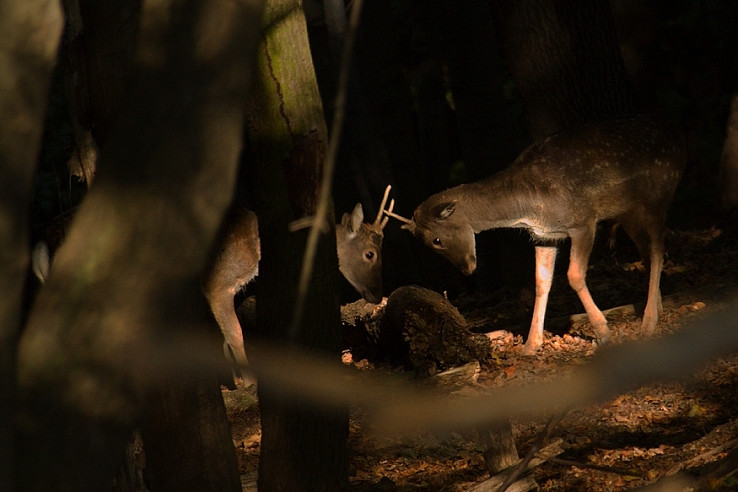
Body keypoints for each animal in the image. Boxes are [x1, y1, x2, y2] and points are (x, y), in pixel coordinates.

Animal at [203, 186, 395, 383]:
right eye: (370, 254)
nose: (377, 295)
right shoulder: (218, 284)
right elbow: (235, 334)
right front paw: (250, 383)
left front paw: (236, 380)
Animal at [384, 116, 685, 355]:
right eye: (426, 244)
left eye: (436, 240)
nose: (468, 269)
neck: (530, 206)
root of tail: (676, 140)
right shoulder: (545, 236)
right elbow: (541, 282)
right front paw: (531, 345)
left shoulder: (583, 221)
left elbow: (574, 275)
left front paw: (603, 332)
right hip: (628, 212)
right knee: (646, 252)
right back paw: (655, 307)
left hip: (657, 197)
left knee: (658, 249)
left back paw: (649, 321)